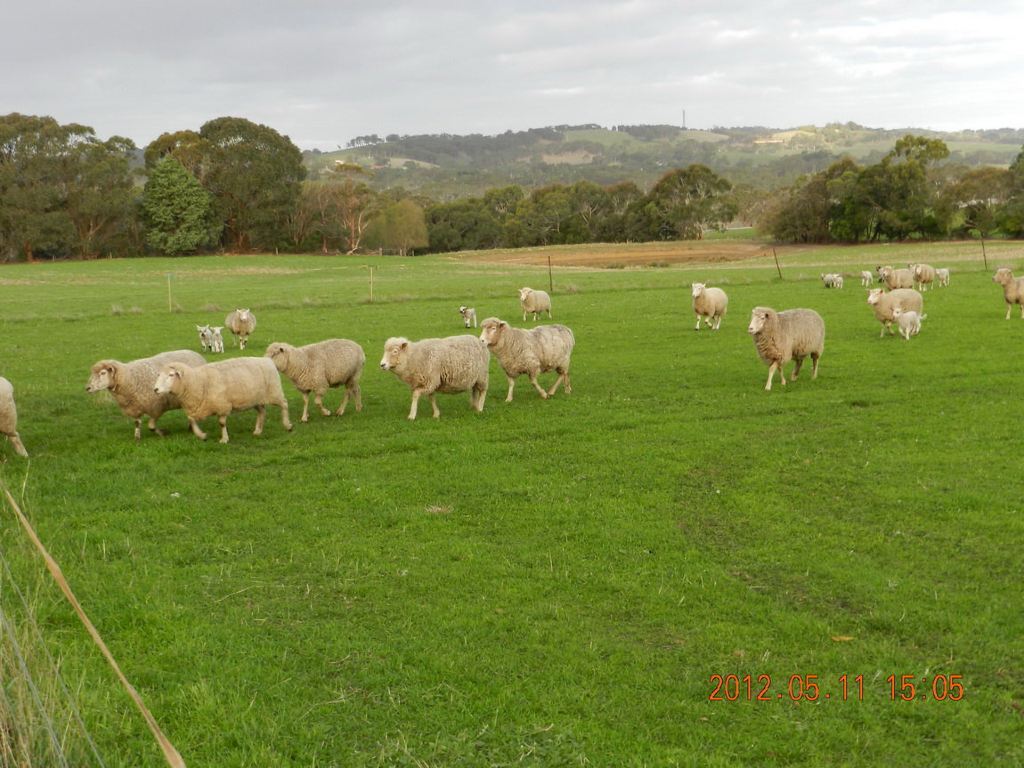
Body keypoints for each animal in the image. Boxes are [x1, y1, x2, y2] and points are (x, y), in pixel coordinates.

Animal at [154, 356, 292, 444]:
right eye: (158, 375)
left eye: (171, 375)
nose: (155, 389)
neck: (199, 381)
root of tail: (267, 360)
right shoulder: (197, 407)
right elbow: (192, 421)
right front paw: (202, 435)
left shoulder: (222, 405)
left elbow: (221, 423)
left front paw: (224, 439)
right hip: (256, 398)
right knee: (262, 412)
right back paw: (258, 431)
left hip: (274, 391)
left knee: (284, 404)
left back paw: (288, 425)